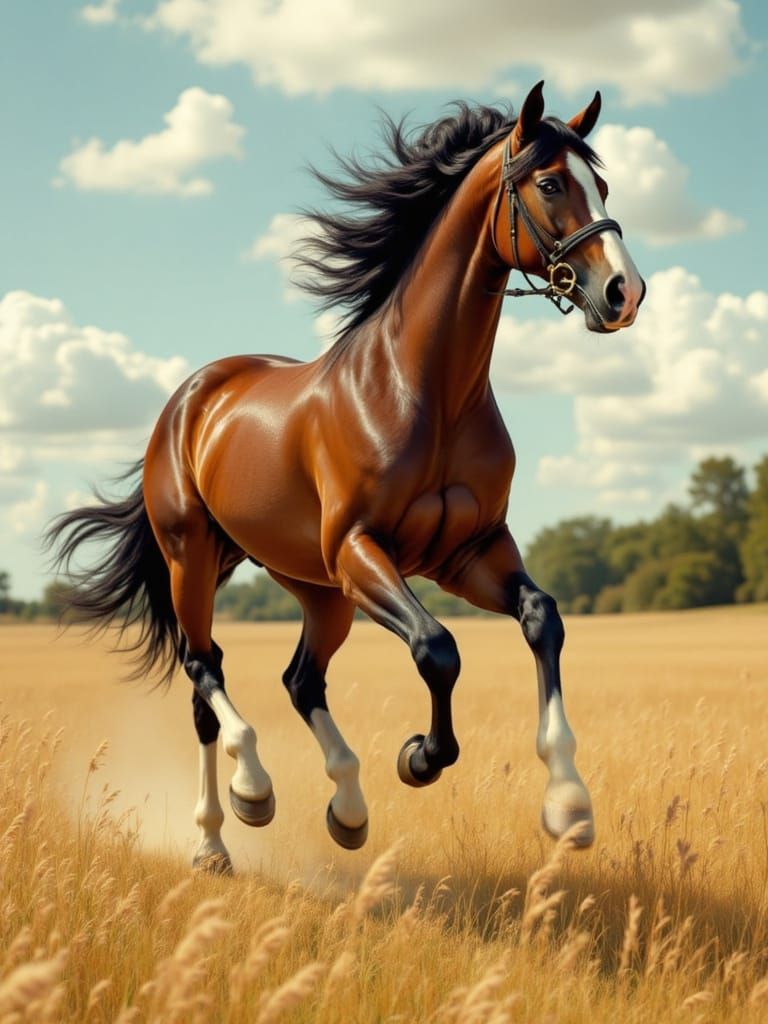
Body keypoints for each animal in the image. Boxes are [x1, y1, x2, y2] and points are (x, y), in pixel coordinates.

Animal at [47, 82, 644, 874]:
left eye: (602, 186)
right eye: (550, 184)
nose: (624, 292)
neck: (426, 392)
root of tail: (193, 395)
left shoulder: (469, 552)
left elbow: (542, 618)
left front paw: (569, 805)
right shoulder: (363, 550)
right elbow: (437, 649)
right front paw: (420, 757)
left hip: (316, 588)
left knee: (296, 680)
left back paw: (337, 813)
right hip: (195, 558)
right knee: (205, 674)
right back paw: (238, 810)